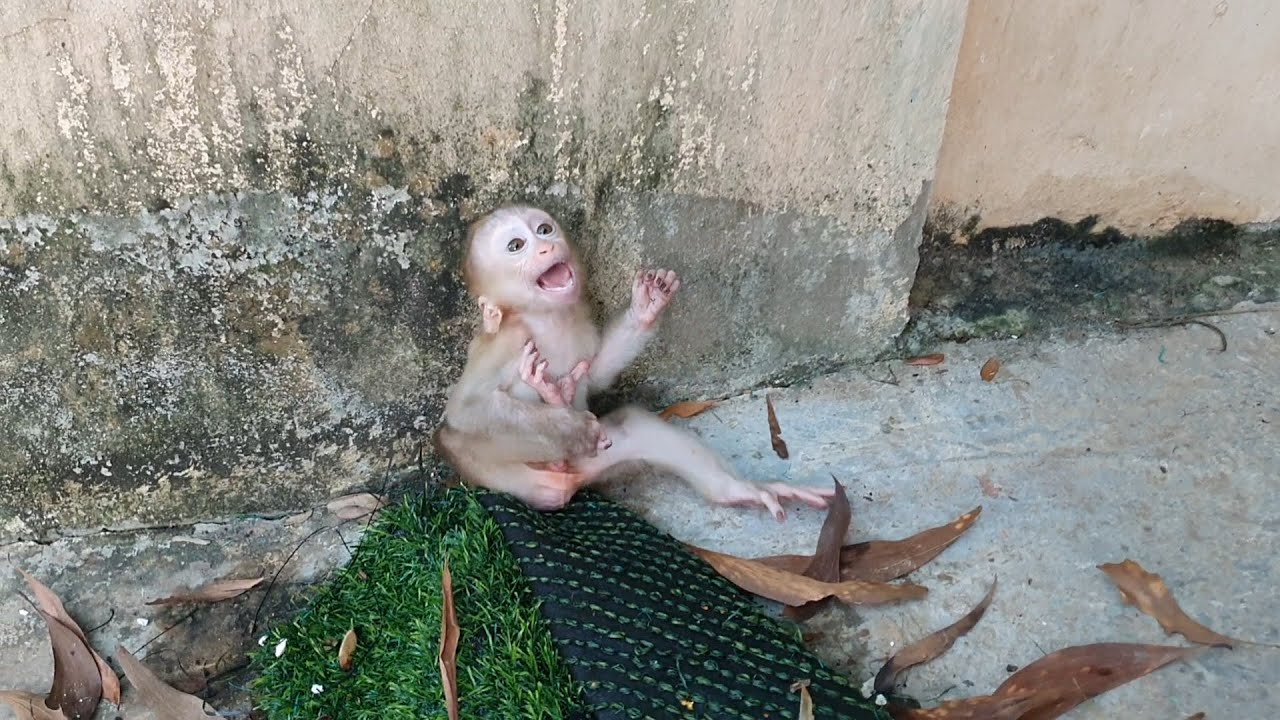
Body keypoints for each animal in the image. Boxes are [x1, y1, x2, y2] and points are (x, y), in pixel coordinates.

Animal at [432, 205, 833, 520]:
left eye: (543, 229)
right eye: (516, 246)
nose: (547, 245)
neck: (547, 318)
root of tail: (565, 481)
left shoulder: (580, 320)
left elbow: (595, 376)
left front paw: (645, 309)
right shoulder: (508, 340)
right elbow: (466, 409)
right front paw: (571, 428)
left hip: (592, 463)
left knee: (635, 426)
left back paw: (739, 490)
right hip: (506, 475)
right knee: (457, 435)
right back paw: (555, 410)